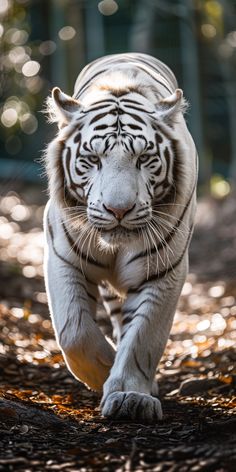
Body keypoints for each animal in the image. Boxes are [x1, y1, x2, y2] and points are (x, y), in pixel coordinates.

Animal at [42, 53, 197, 422]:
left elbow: (143, 337)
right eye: (93, 159)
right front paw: (104, 371)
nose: (118, 210)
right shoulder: (61, 257)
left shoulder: (164, 272)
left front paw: (130, 395)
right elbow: (74, 332)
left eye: (144, 158)